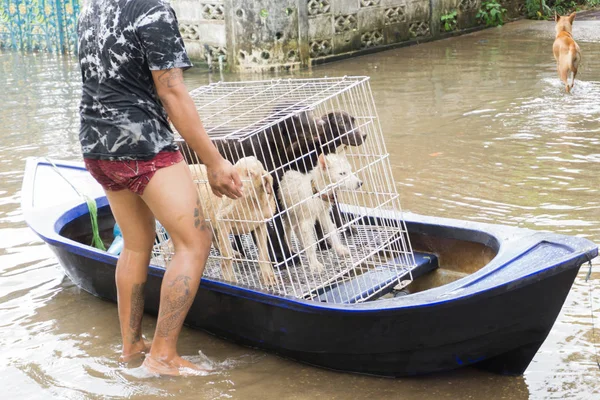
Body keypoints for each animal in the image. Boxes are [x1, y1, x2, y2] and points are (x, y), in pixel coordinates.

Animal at [188, 155, 276, 284]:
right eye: (234, 172)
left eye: (250, 174)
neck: (250, 202)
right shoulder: (223, 221)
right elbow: (226, 257)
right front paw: (229, 280)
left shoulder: (261, 224)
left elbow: (263, 252)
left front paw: (267, 275)